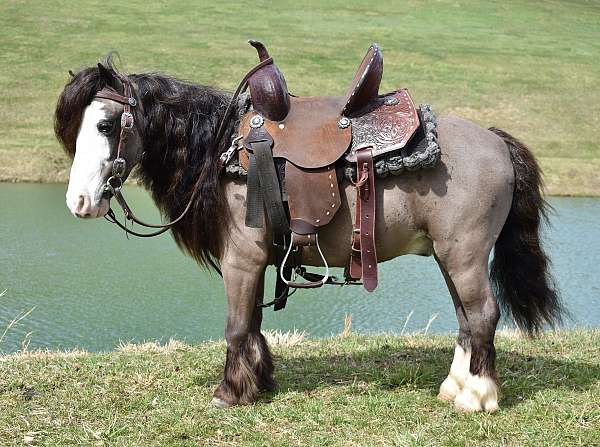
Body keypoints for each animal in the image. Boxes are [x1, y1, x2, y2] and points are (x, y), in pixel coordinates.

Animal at [52, 55, 564, 412]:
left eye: (105, 124)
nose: (78, 202)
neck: (222, 152)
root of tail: (496, 140)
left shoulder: (241, 258)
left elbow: (236, 324)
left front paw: (229, 392)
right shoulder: (257, 260)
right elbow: (253, 323)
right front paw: (259, 381)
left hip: (465, 254)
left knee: (483, 315)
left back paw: (477, 396)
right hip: (447, 255)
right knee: (466, 318)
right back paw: (454, 387)